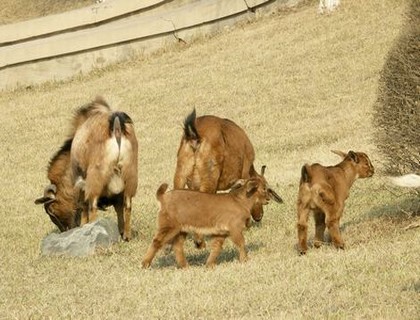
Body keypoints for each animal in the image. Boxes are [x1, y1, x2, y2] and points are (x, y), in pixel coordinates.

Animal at [35, 97, 138, 240]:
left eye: (51, 210)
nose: (66, 229)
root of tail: (116, 125)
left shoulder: (81, 186)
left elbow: (84, 208)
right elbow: (118, 208)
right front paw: (121, 231)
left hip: (96, 178)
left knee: (92, 207)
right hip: (130, 174)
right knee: (127, 205)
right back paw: (127, 236)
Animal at [172, 109, 284, 248]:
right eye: (264, 190)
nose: (259, 217)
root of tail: (194, 136)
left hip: (180, 176)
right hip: (208, 181)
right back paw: (200, 242)